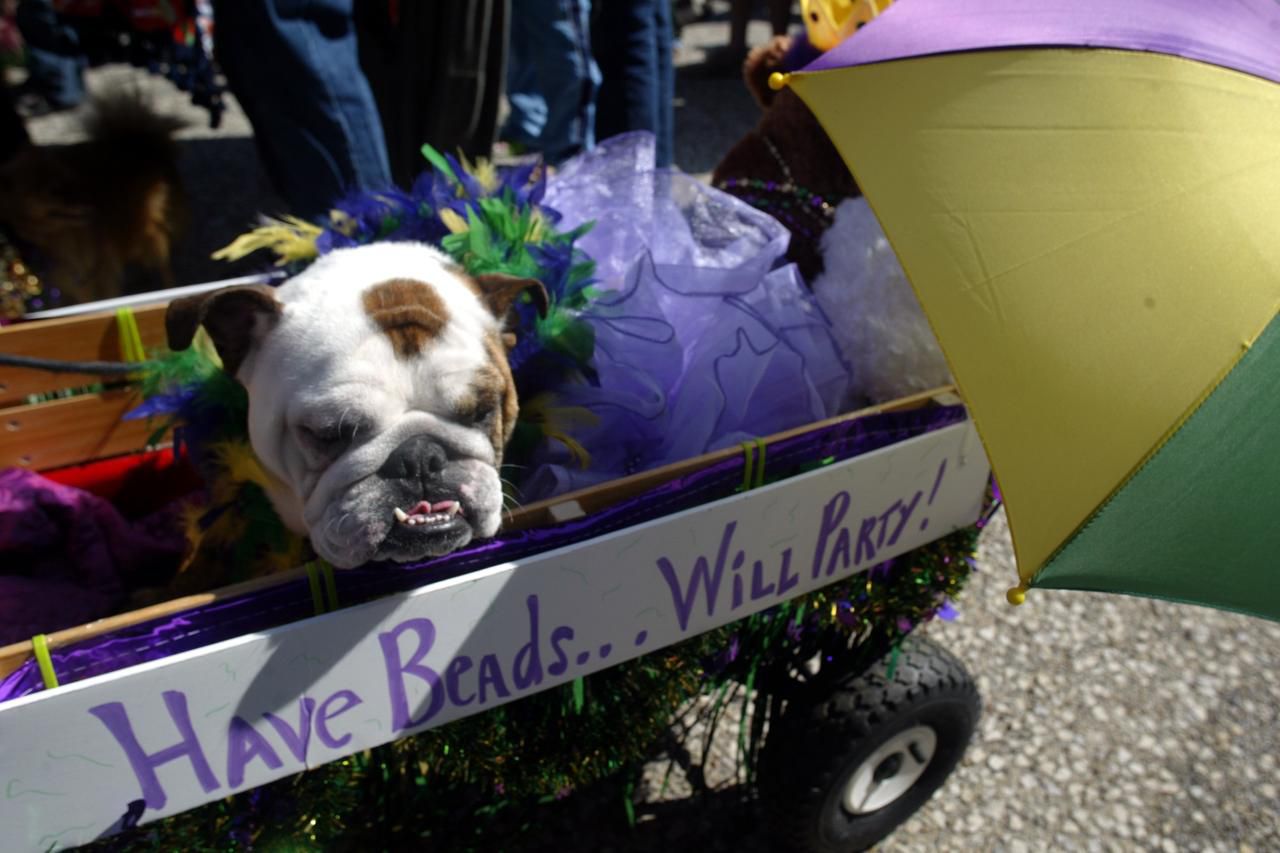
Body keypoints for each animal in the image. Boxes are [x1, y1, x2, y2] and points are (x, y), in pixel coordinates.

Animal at [0, 89, 186, 306]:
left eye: (67, 178)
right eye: (52, 191)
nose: (91, 203)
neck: (51, 240)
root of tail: (138, 142)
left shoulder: (95, 276)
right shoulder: (70, 283)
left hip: (149, 227)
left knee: (162, 265)